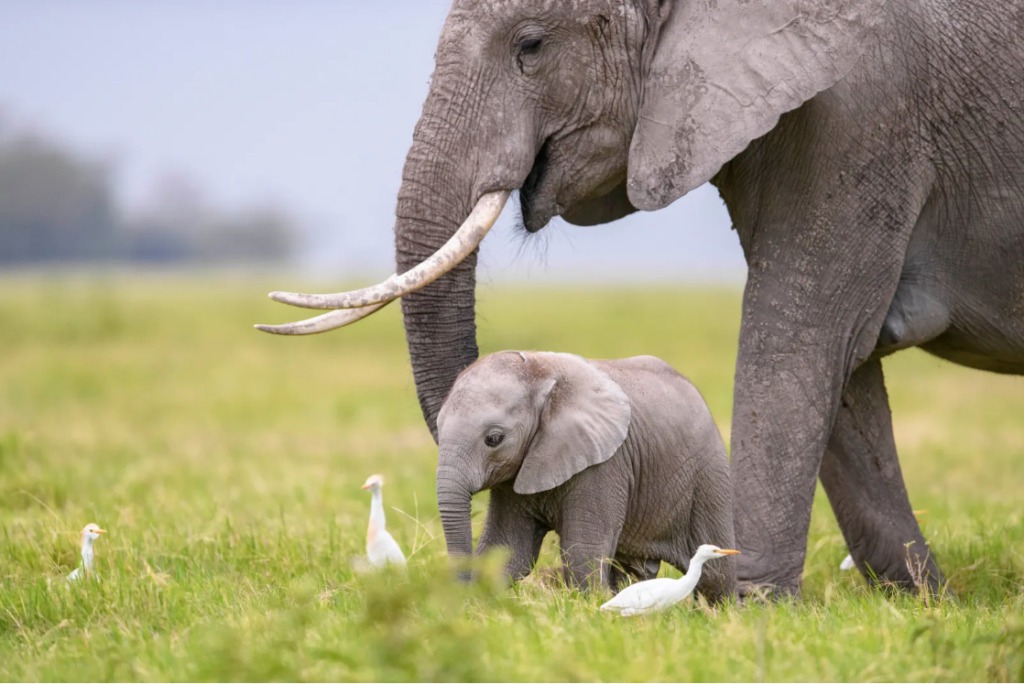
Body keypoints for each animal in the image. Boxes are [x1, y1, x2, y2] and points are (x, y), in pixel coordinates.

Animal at [434, 352, 737, 597]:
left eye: (494, 439)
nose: (460, 589)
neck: (540, 372)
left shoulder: (604, 464)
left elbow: (582, 551)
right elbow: (508, 548)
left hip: (708, 473)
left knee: (715, 575)